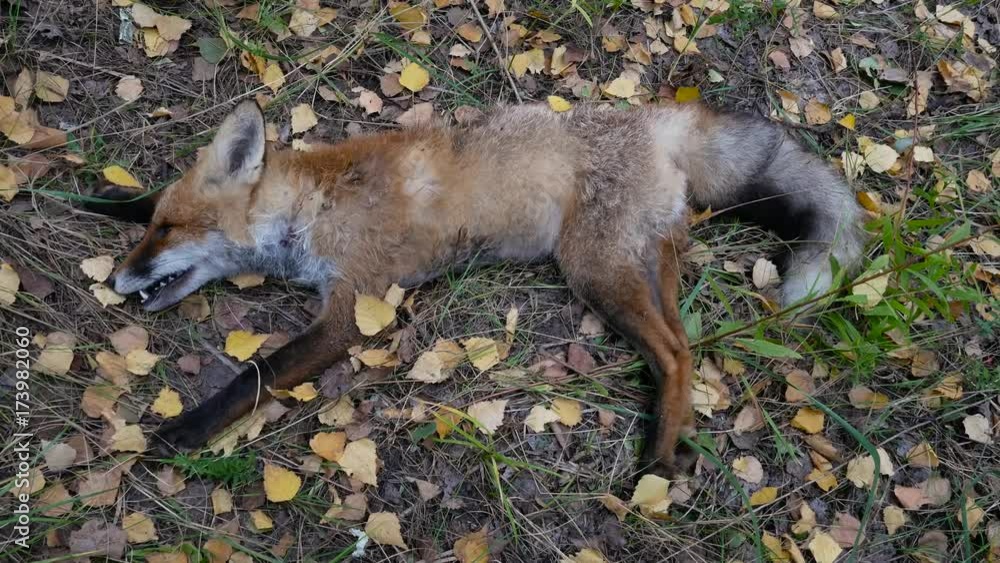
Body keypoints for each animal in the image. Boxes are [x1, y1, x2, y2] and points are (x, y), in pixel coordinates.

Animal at [88, 99, 865, 475]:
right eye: (152, 227)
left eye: (171, 231)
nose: (119, 277)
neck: (314, 209)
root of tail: (657, 118)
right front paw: (101, 196)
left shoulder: (356, 307)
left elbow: (254, 374)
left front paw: (185, 429)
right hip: (643, 263)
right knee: (685, 347)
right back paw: (671, 440)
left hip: (595, 269)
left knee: (674, 354)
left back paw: (657, 456)